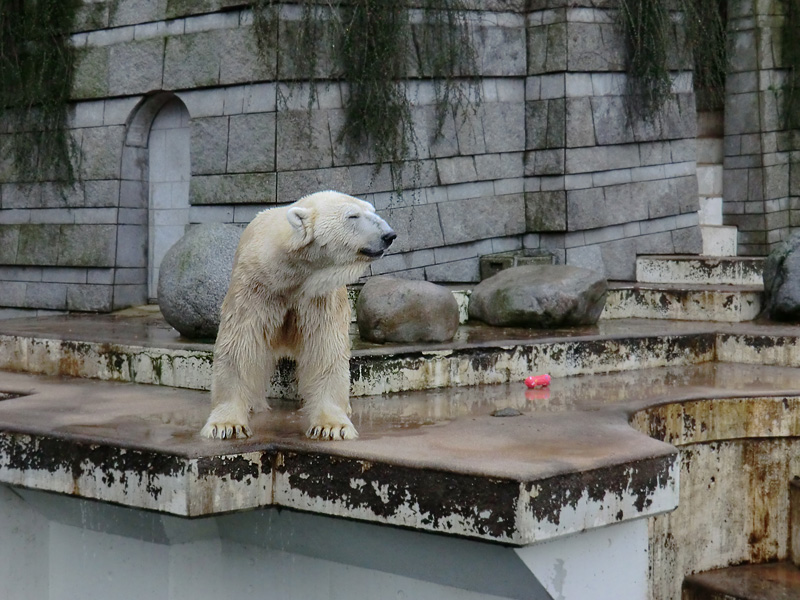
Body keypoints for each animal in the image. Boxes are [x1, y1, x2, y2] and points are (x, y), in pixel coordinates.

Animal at [202, 192, 396, 440]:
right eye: (352, 216)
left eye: (372, 210)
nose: (389, 235)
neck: (291, 274)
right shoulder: (255, 287)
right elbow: (241, 343)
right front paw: (227, 425)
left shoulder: (319, 296)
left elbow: (325, 347)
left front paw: (332, 426)